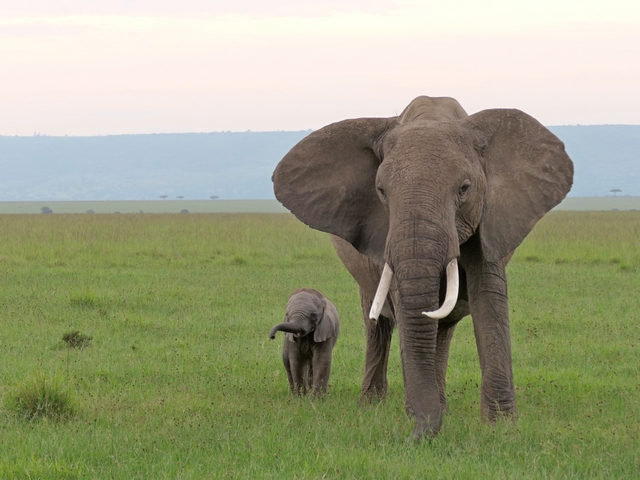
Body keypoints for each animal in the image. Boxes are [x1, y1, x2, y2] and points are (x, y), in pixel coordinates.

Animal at [272, 96, 573, 438]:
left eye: (464, 188)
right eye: (381, 191)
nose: (418, 435)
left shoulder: (490, 219)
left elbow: (490, 300)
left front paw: (501, 426)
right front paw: (417, 416)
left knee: (442, 329)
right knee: (378, 325)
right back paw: (374, 404)